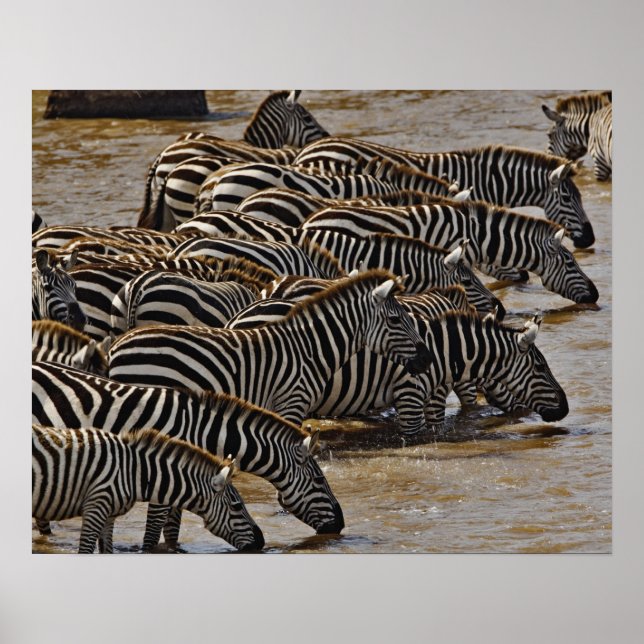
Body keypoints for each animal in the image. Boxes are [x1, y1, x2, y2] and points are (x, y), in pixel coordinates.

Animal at [32, 424, 264, 553]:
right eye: (236, 506)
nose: (261, 542)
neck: (133, 472)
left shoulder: (108, 515)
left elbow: (107, 551)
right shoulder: (95, 507)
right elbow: (85, 551)